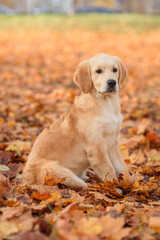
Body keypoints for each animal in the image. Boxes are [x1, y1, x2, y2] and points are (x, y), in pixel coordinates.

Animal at [22, 53, 127, 188]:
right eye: (98, 71)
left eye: (115, 70)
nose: (112, 82)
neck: (106, 103)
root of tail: (25, 182)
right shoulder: (96, 147)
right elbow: (109, 170)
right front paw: (115, 188)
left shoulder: (113, 142)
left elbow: (123, 167)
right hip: (58, 171)